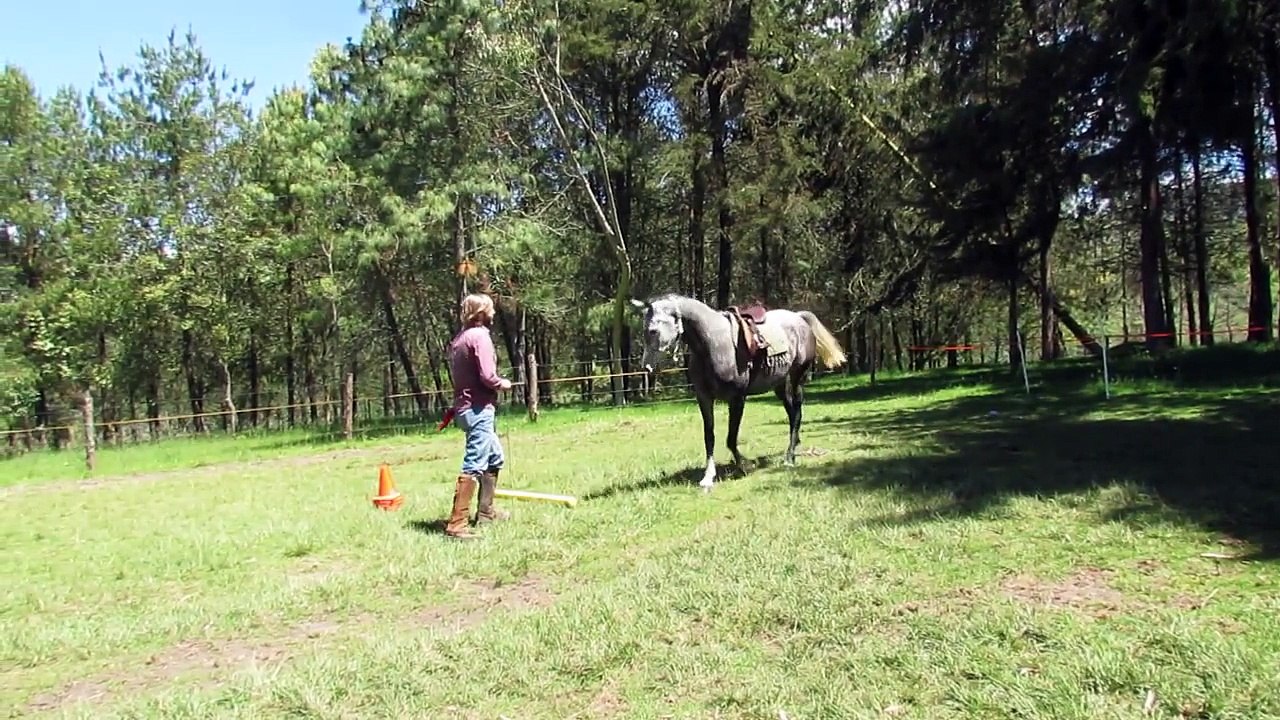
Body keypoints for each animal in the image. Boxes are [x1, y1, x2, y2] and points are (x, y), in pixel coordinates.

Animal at [630, 293, 848, 491]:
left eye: (653, 331)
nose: (646, 366)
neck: (713, 343)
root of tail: (799, 318)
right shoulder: (704, 398)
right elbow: (709, 437)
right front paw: (708, 477)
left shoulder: (737, 398)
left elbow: (731, 438)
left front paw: (745, 465)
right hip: (780, 384)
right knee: (793, 412)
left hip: (796, 377)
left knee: (796, 415)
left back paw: (789, 457)